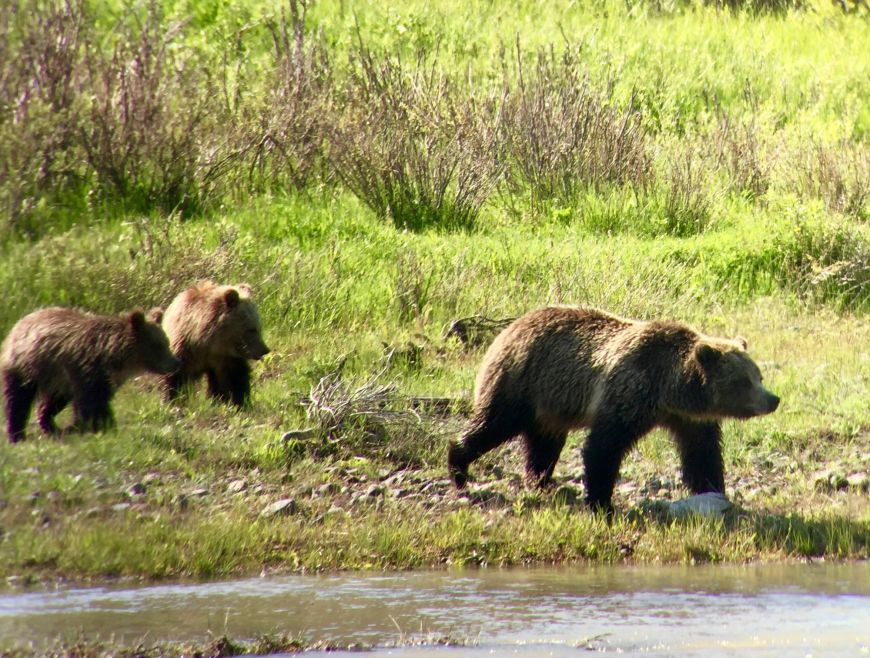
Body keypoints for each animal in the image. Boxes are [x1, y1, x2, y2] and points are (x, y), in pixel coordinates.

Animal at [0, 306, 181, 440]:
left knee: (53, 400)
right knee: (18, 398)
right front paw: (101, 426)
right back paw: (16, 434)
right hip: (27, 365)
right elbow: (92, 402)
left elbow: (99, 401)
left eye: (166, 341)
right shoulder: (88, 369)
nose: (176, 362)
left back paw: (51, 426)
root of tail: (20, 322)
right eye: (157, 345)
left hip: (58, 380)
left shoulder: (109, 378)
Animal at [450, 304, 784, 510]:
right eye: (743, 381)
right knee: (493, 423)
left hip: (550, 404)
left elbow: (702, 454)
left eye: (758, 375)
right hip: (520, 381)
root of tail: (508, 329)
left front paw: (714, 490)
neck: (669, 391)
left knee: (543, 443)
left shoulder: (689, 419)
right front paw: (601, 503)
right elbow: (603, 448)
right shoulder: (629, 391)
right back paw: (458, 467)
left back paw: (542, 481)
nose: (773, 399)